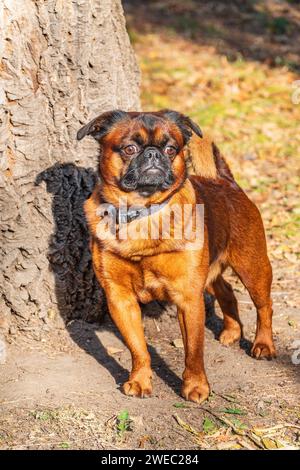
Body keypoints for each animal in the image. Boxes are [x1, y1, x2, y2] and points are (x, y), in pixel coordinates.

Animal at [77, 110, 276, 404]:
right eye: (129, 148)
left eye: (171, 149)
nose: (153, 154)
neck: (142, 213)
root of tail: (226, 181)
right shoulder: (120, 299)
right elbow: (138, 347)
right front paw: (140, 380)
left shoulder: (188, 298)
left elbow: (193, 350)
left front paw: (196, 386)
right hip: (210, 272)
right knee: (226, 291)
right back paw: (231, 331)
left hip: (252, 267)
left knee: (264, 306)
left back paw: (263, 344)